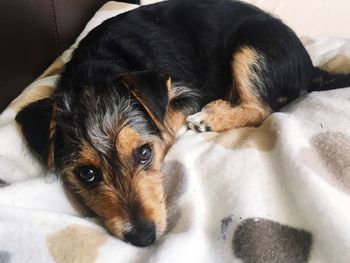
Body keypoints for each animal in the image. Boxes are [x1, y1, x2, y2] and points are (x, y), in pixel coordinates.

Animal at [15, 0, 350, 248]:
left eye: (144, 153)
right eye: (86, 174)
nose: (144, 237)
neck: (98, 72)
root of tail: (311, 68)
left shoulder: (188, 91)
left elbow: (167, 120)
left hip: (250, 46)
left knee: (261, 108)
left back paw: (212, 116)